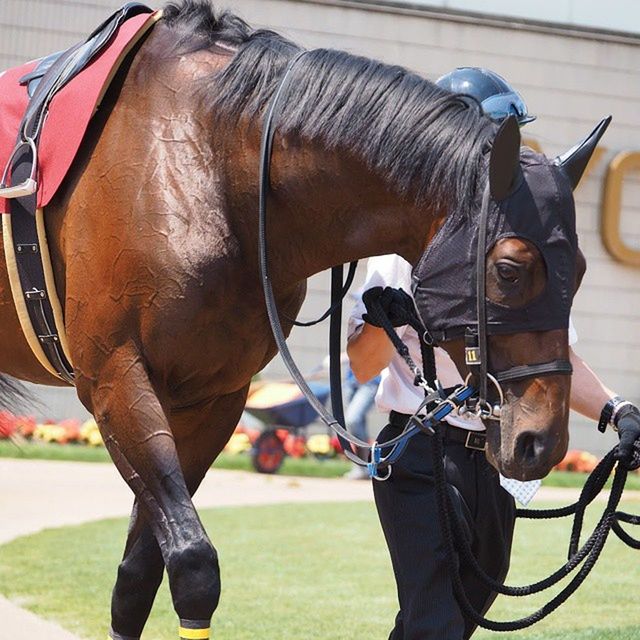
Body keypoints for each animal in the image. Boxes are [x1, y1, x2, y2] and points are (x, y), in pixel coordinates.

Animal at [0, 2, 604, 636]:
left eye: (580, 268)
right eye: (510, 269)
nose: (542, 441)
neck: (201, 166)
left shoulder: (212, 398)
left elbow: (138, 575)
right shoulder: (114, 378)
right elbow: (192, 565)